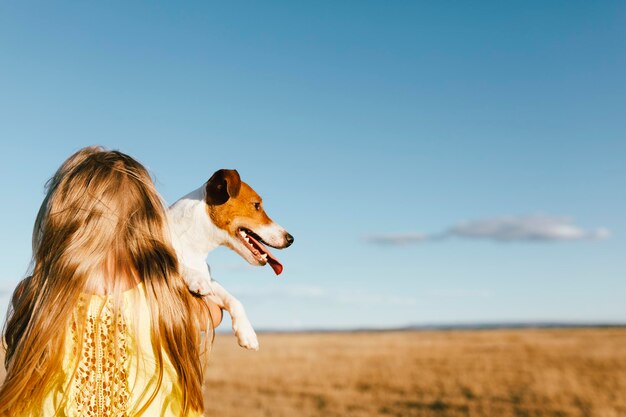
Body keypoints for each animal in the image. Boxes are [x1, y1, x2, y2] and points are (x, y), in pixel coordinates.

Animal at [166, 167, 292, 350]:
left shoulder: (211, 286)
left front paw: (247, 333)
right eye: (257, 205)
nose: (291, 239)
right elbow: (176, 261)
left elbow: (234, 300)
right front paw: (196, 277)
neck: (193, 246)